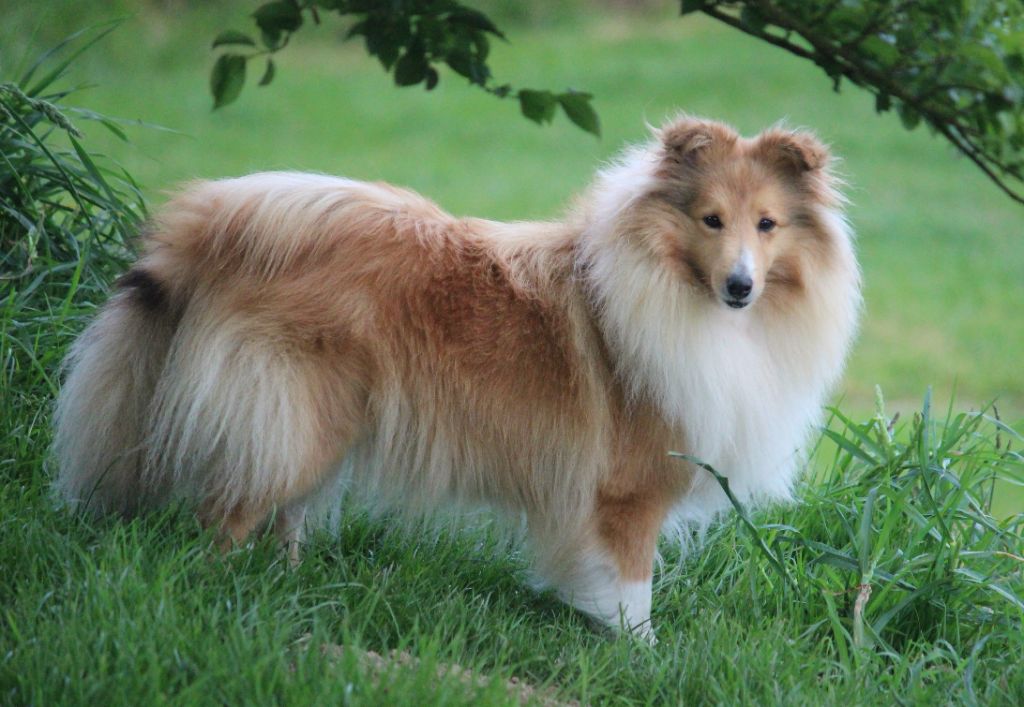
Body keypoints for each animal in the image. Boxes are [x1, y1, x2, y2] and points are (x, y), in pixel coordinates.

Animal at [51, 116, 860, 639]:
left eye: (767, 224)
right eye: (710, 219)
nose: (740, 288)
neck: (674, 291)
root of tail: (215, 221)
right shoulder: (626, 496)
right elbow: (633, 595)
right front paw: (643, 659)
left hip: (316, 422)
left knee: (283, 513)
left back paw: (288, 586)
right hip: (296, 413)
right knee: (226, 516)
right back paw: (225, 595)